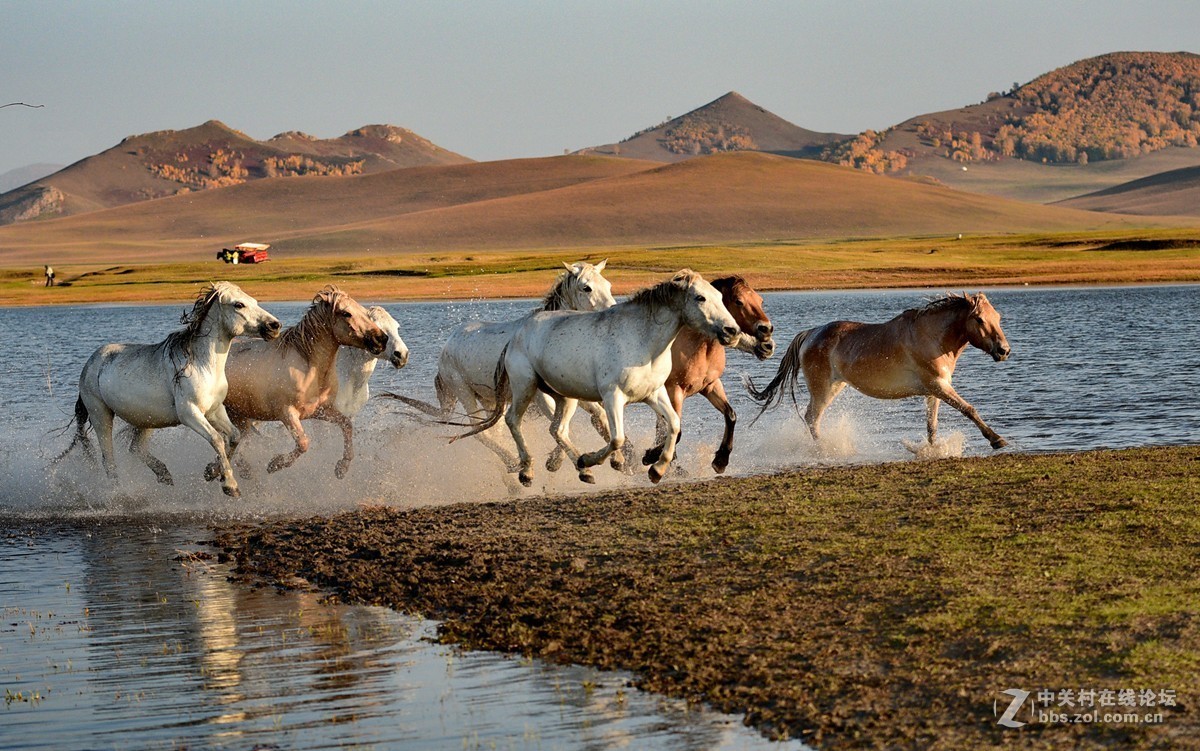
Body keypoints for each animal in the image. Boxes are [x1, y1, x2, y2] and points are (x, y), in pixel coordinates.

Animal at [58, 280, 280, 496]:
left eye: (254, 301)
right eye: (238, 304)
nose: (274, 326)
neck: (202, 365)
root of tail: (90, 363)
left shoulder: (214, 411)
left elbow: (234, 437)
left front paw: (212, 472)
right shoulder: (190, 414)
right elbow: (217, 440)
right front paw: (230, 486)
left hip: (145, 420)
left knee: (135, 449)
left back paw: (164, 475)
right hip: (100, 415)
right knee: (109, 460)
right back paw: (119, 494)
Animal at [208, 283, 386, 477]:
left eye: (363, 311)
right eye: (346, 313)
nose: (381, 339)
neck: (310, 368)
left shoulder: (321, 411)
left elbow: (347, 425)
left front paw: (342, 467)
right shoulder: (288, 414)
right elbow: (304, 443)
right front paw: (275, 464)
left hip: (239, 416)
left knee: (235, 439)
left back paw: (217, 470)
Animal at [460, 268, 734, 484]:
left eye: (720, 297)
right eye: (700, 297)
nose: (731, 331)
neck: (642, 340)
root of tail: (516, 332)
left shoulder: (655, 394)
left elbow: (674, 425)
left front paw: (656, 470)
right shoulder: (613, 397)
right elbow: (617, 438)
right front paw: (597, 460)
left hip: (564, 397)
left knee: (557, 429)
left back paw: (581, 470)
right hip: (526, 387)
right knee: (513, 421)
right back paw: (527, 471)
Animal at [643, 274, 772, 472]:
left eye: (760, 301)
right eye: (739, 301)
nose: (766, 329)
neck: (698, 346)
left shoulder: (710, 386)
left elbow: (731, 415)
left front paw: (721, 460)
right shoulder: (675, 390)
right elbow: (676, 430)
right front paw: (650, 456)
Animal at [748, 289, 1012, 446]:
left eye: (998, 317)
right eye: (979, 319)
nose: (1004, 350)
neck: (931, 337)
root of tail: (811, 333)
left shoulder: (935, 391)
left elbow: (932, 426)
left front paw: (932, 449)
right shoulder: (938, 386)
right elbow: (969, 409)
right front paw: (996, 439)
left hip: (834, 388)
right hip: (822, 390)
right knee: (812, 417)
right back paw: (824, 448)